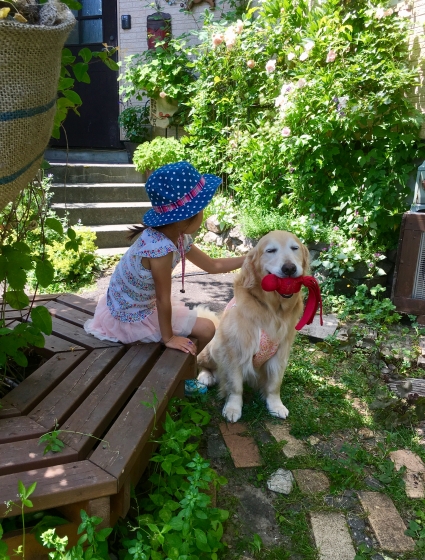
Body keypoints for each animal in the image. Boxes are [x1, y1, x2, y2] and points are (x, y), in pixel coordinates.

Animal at [197, 230, 309, 423]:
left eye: (295, 248)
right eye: (270, 250)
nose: (289, 268)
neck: (272, 309)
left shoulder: (281, 352)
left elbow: (274, 384)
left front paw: (275, 405)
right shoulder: (236, 350)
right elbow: (235, 386)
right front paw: (233, 408)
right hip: (213, 346)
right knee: (202, 363)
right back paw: (205, 376)